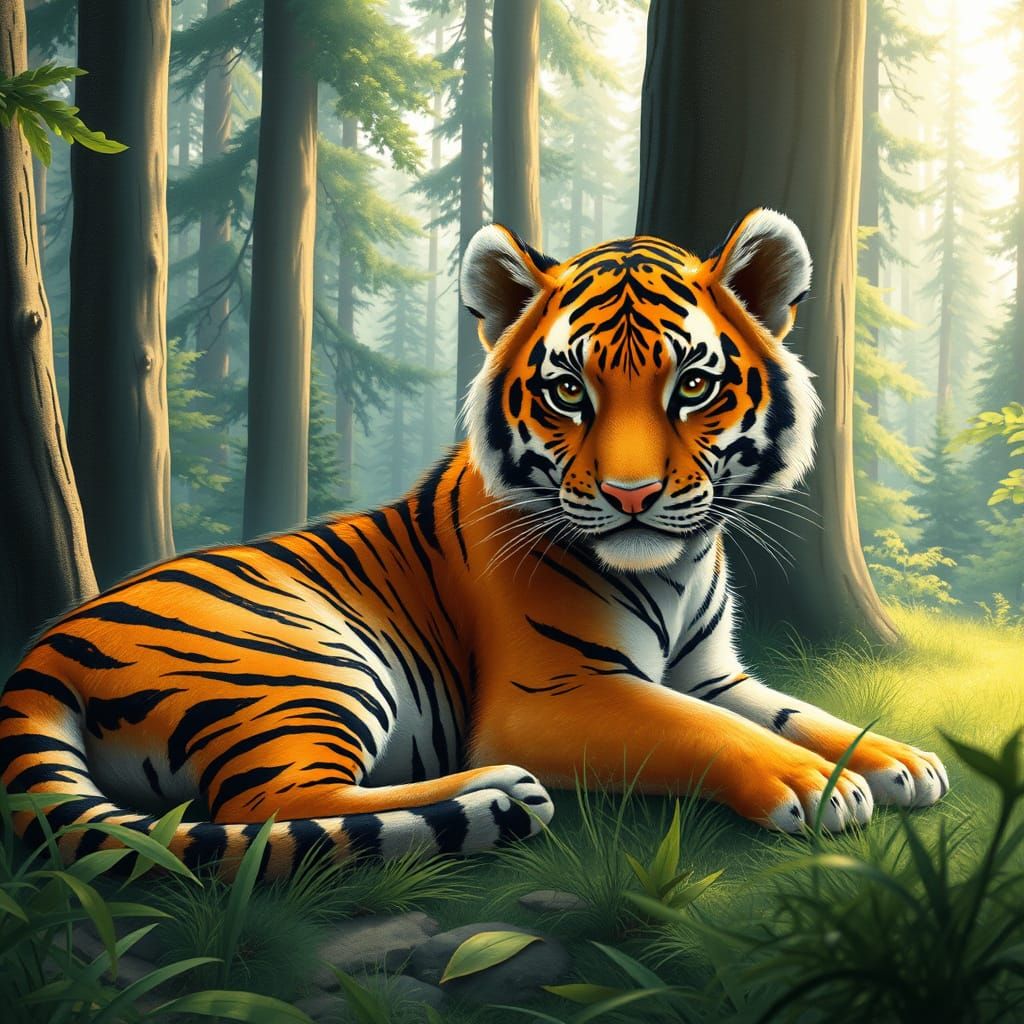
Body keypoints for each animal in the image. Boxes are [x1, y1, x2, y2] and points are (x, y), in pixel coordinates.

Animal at [0, 209, 948, 881]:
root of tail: (43, 650)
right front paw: (812, 784)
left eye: (692, 386)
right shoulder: (554, 693)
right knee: (271, 802)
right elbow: (704, 730)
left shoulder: (714, 671)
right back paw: (495, 795)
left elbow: (799, 712)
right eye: (569, 392)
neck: (677, 569)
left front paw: (898, 760)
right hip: (309, 660)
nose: (631, 497)